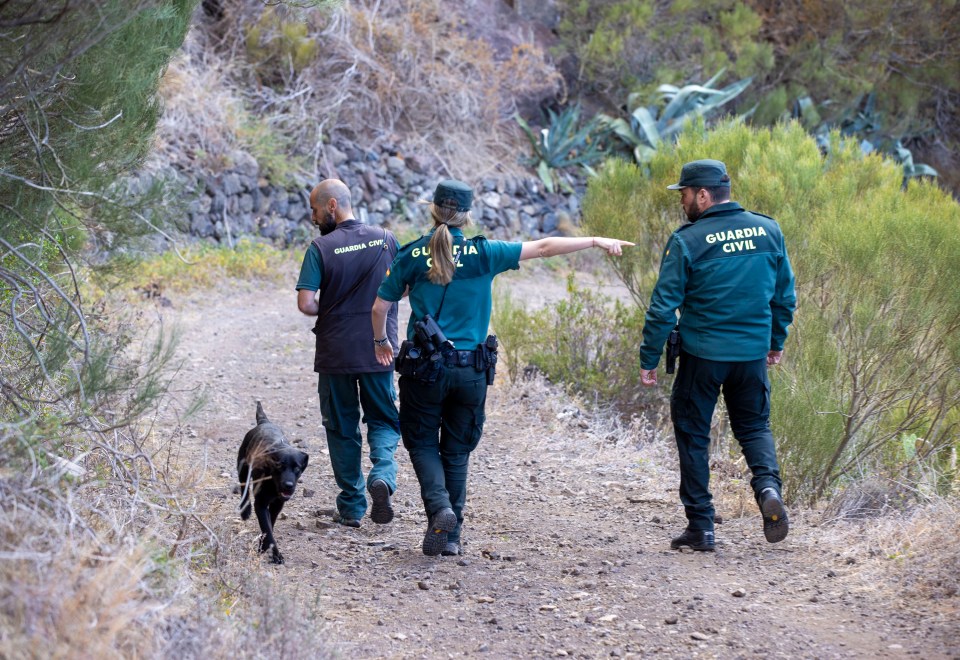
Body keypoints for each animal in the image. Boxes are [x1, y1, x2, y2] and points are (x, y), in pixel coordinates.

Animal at [236, 400, 308, 564]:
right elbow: (267, 528)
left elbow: (270, 524)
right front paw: (275, 554)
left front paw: (263, 547)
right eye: (279, 466)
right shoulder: (260, 504)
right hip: (243, 467)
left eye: (297, 468)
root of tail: (264, 422)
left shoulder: (278, 504)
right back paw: (245, 510)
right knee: (243, 487)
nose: (288, 485)